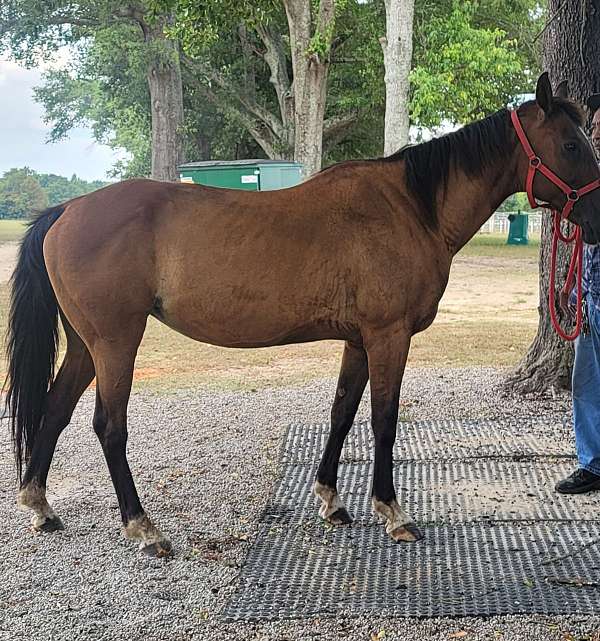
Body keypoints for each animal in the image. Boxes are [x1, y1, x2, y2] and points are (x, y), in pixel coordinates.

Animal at [4, 74, 600, 556]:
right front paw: (393, 512)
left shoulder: (359, 340)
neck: (411, 208)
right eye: (572, 144)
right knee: (109, 426)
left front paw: (331, 500)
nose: (597, 217)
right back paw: (143, 529)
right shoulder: (389, 337)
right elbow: (384, 420)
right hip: (116, 343)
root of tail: (68, 209)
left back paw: (41, 506)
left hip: (87, 345)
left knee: (55, 411)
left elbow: (341, 413)